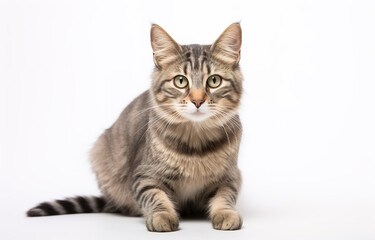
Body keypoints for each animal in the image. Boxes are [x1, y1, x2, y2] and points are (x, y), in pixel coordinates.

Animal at [26, 23, 244, 232]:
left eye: (214, 80)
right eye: (180, 81)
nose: (198, 101)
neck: (196, 144)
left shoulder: (230, 177)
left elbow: (225, 197)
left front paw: (226, 214)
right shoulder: (144, 176)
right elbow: (155, 196)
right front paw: (162, 216)